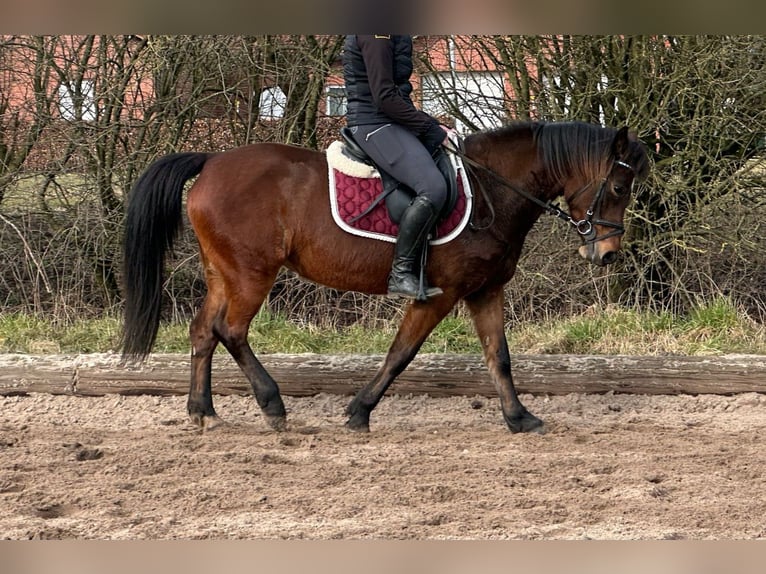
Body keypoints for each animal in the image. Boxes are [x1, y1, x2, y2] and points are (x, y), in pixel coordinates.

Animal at [123, 122, 652, 436]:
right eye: (618, 187)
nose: (607, 253)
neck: (491, 190)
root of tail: (212, 161)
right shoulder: (440, 295)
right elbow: (401, 354)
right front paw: (359, 411)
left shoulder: (485, 290)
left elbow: (498, 357)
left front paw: (519, 417)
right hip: (252, 274)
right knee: (229, 330)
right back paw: (272, 407)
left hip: (224, 272)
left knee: (202, 331)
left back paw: (202, 411)